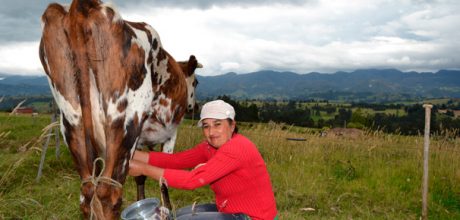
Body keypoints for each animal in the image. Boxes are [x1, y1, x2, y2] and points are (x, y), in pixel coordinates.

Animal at [38, 0, 199, 219]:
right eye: (196, 83)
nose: (196, 106)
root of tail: (81, 7)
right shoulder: (169, 135)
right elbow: (162, 179)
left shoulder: (143, 141)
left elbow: (141, 176)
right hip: (124, 121)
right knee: (108, 192)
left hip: (72, 121)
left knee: (87, 193)